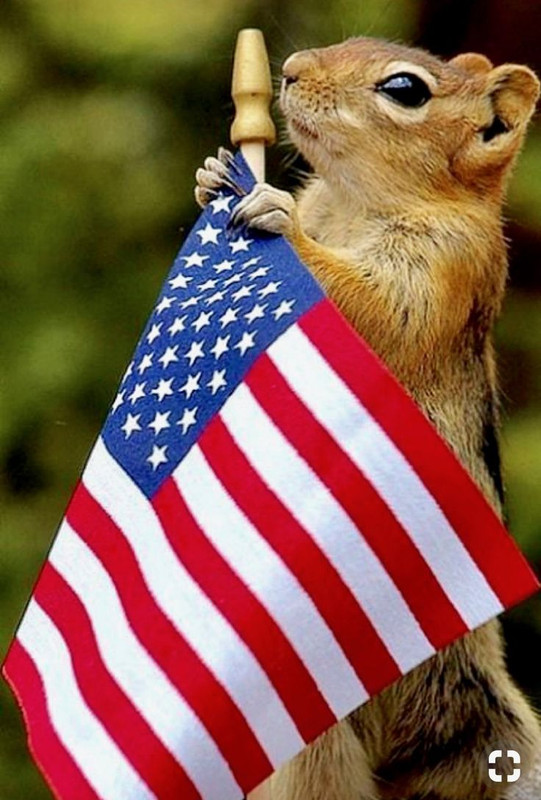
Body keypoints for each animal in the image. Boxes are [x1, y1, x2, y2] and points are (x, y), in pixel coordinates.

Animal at [195, 37, 541, 800]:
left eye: (405, 89)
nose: (291, 68)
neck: (357, 200)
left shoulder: (441, 268)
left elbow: (374, 305)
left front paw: (276, 220)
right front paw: (209, 178)